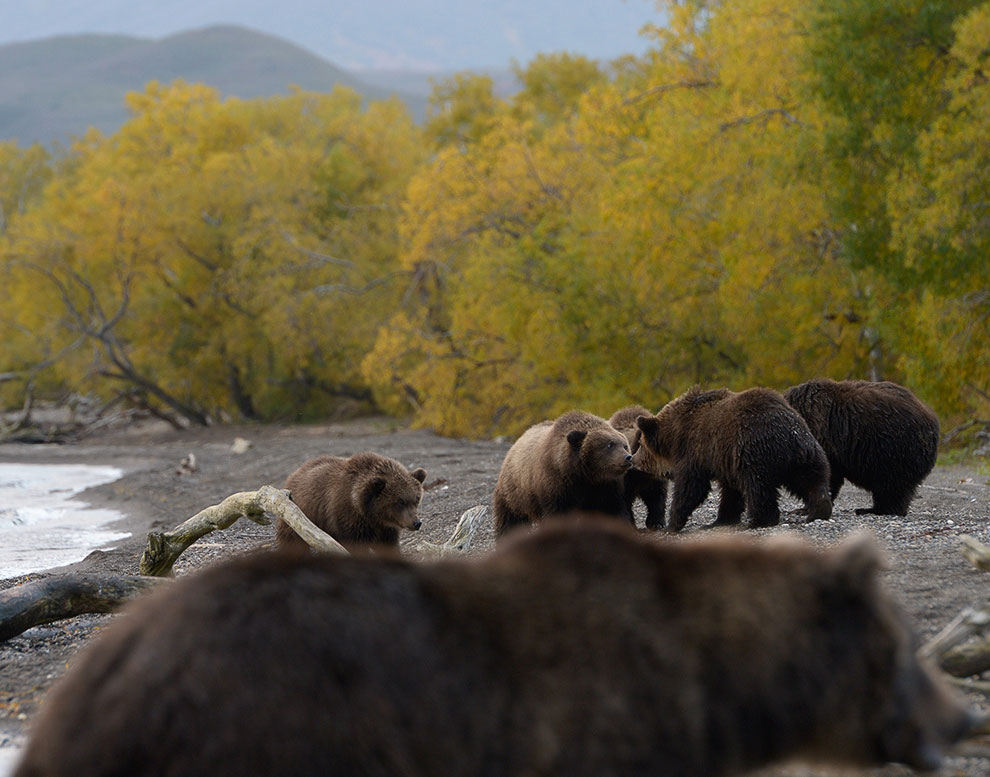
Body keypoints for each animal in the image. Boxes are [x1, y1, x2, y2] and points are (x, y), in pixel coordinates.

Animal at [276, 448, 426, 552]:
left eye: (416, 499)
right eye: (400, 501)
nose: (416, 523)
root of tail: (294, 473)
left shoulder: (385, 530)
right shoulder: (349, 521)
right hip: (297, 518)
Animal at [494, 410, 636, 536]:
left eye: (624, 445)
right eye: (609, 445)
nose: (628, 457)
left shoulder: (604, 487)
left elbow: (614, 509)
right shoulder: (556, 485)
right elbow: (557, 514)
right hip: (515, 492)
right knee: (510, 519)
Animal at [632, 384, 832, 532]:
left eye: (640, 444)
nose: (633, 460)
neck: (673, 436)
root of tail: (790, 434)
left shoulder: (695, 449)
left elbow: (691, 487)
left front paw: (672, 524)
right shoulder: (724, 459)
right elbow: (730, 492)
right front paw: (722, 520)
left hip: (754, 450)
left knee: (758, 488)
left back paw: (759, 520)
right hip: (807, 454)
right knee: (813, 481)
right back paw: (819, 510)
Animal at [788, 380, 940, 520]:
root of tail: (931, 417)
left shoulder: (824, 439)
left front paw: (804, 508)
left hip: (894, 449)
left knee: (891, 486)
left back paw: (871, 509)